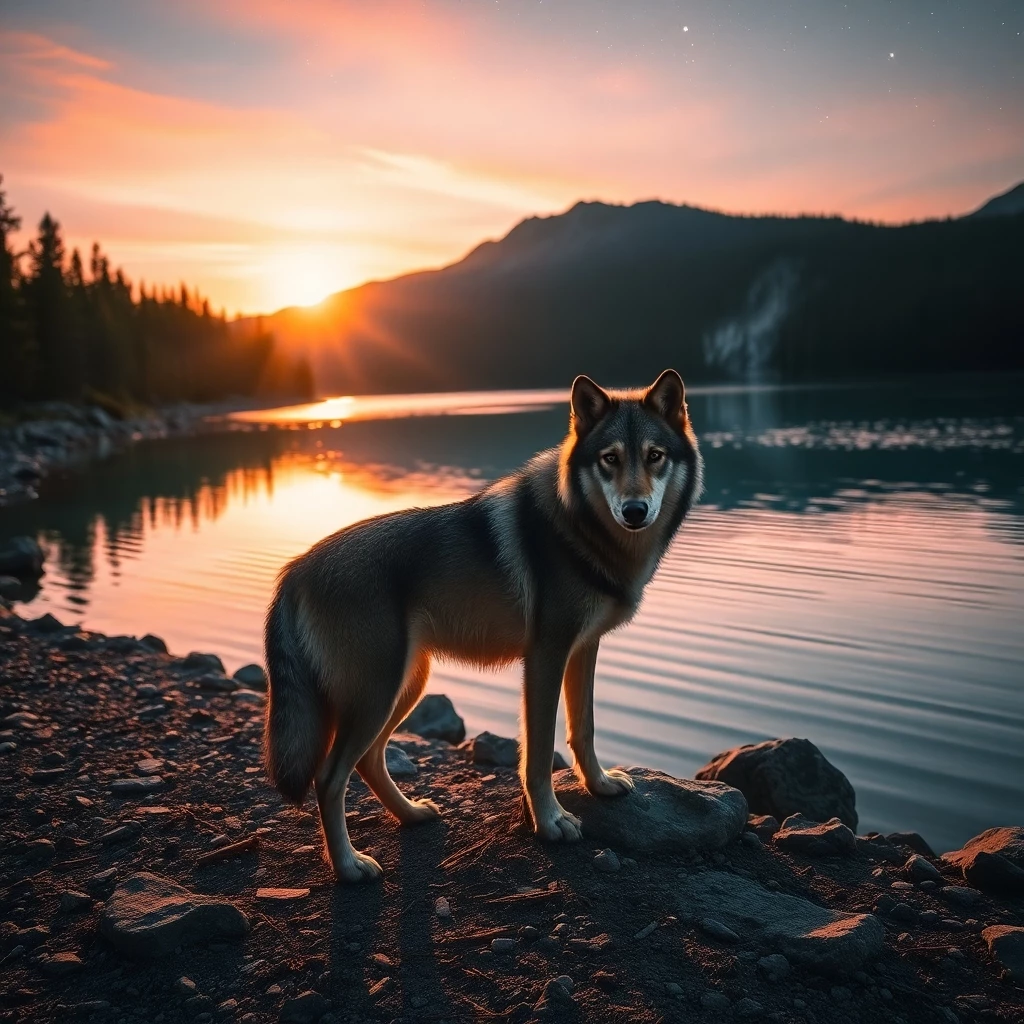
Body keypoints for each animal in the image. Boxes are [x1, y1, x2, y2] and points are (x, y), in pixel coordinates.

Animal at [263, 369, 702, 882]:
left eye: (654, 456)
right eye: (610, 458)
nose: (635, 511)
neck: (582, 530)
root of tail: (294, 570)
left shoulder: (583, 649)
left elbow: (584, 729)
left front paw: (599, 785)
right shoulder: (546, 657)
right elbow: (538, 754)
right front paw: (550, 823)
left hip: (404, 686)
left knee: (370, 761)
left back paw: (411, 815)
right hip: (376, 695)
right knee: (330, 778)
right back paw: (350, 867)